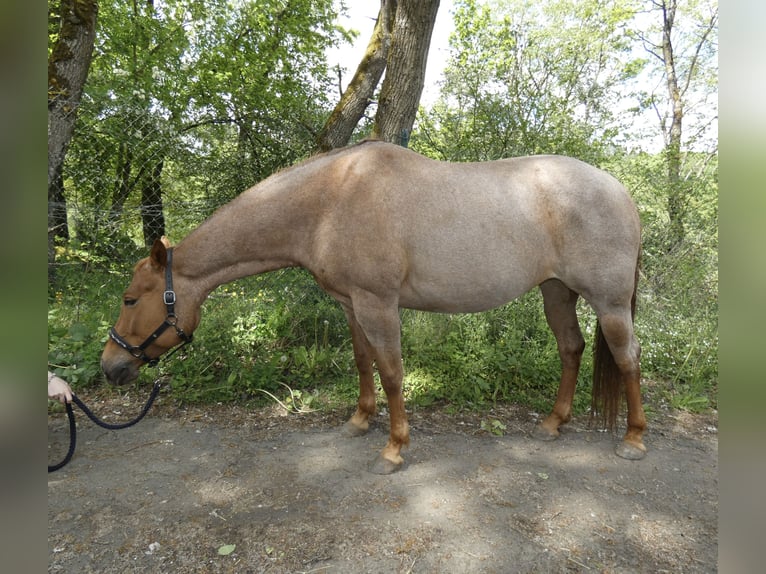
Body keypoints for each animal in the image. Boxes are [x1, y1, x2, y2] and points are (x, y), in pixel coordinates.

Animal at [101, 139, 646, 474]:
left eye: (130, 298)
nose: (111, 366)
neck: (330, 201)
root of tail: (621, 191)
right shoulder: (350, 303)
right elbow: (363, 362)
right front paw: (360, 422)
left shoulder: (378, 303)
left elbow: (391, 372)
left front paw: (394, 449)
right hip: (556, 291)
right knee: (571, 348)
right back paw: (553, 425)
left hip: (609, 302)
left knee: (627, 359)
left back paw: (634, 440)